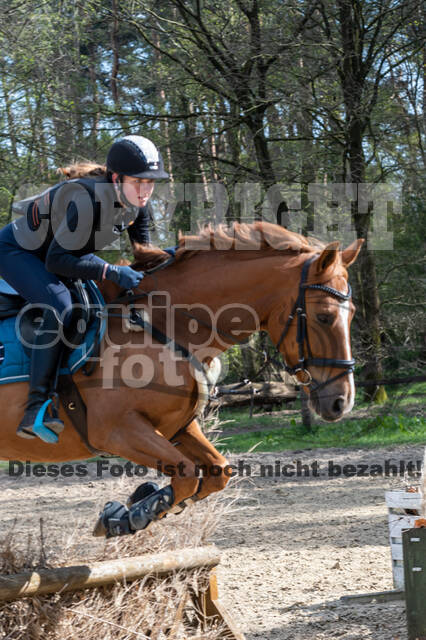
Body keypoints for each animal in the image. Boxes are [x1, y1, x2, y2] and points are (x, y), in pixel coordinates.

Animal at [0, 221, 362, 536]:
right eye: (324, 317)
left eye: (353, 315)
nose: (341, 402)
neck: (164, 322)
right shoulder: (116, 430)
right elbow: (187, 475)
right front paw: (127, 516)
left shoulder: (177, 426)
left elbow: (217, 472)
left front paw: (131, 506)